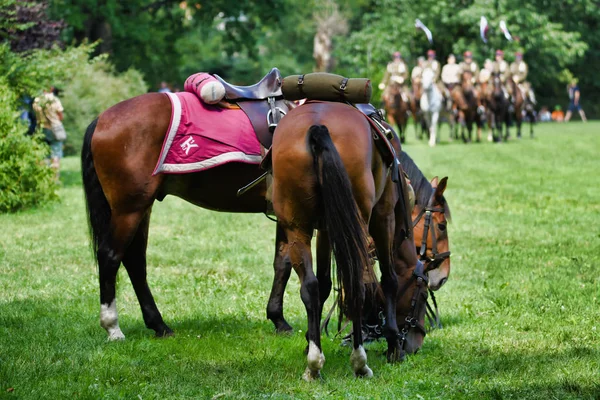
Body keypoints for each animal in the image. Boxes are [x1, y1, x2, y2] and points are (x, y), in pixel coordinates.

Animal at [270, 101, 424, 380]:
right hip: (361, 221)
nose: (415, 343)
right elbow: (389, 280)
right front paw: (393, 346)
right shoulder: (383, 216)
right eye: (424, 293)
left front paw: (310, 341)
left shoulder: (325, 229)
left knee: (309, 286)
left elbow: (322, 284)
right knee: (357, 285)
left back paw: (314, 364)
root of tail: (317, 127)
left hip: (297, 226)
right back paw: (360, 362)